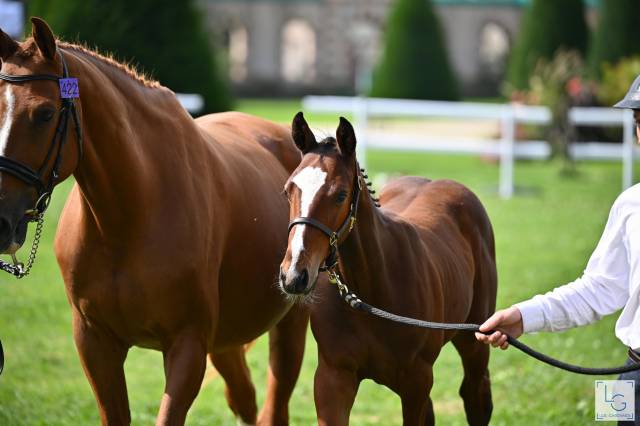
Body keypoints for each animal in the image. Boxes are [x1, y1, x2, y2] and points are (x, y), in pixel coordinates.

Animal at [0, 18, 308, 426]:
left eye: (45, 114)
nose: (1, 219)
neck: (128, 219)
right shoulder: (95, 342)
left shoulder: (187, 344)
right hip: (226, 340)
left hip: (290, 325)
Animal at [278, 113, 497, 425]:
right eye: (288, 191)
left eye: (340, 194)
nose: (294, 275)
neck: (372, 290)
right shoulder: (333, 378)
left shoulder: (417, 381)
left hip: (474, 341)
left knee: (475, 395)